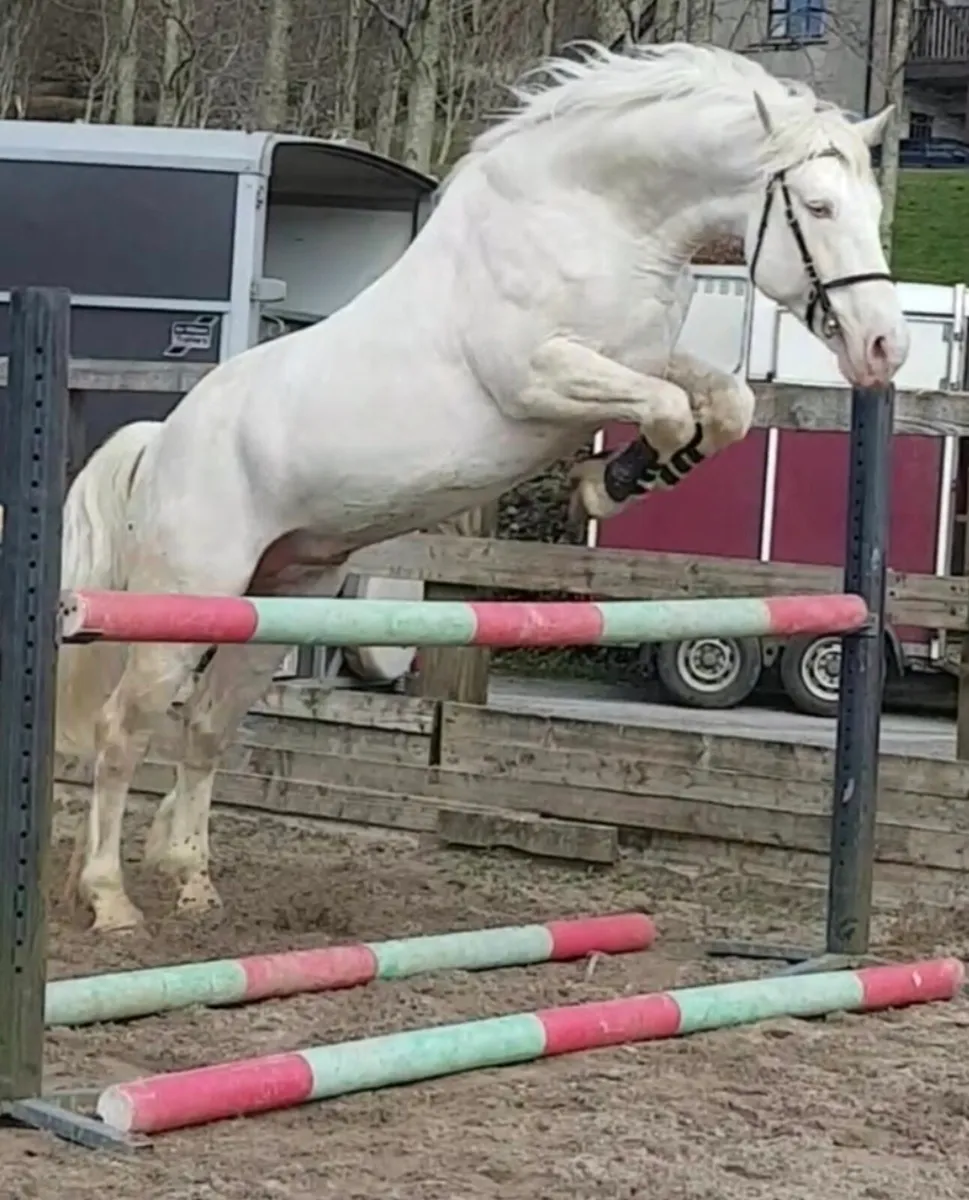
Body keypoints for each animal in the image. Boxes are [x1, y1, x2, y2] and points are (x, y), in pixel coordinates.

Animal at [56, 41, 909, 933]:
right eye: (816, 206)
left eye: (868, 205)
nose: (884, 347)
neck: (597, 214)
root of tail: (161, 444)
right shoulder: (543, 376)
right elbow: (674, 410)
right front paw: (606, 485)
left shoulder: (637, 356)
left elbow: (726, 404)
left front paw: (623, 478)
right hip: (188, 599)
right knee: (124, 728)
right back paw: (110, 898)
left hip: (280, 596)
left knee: (207, 726)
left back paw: (191, 879)